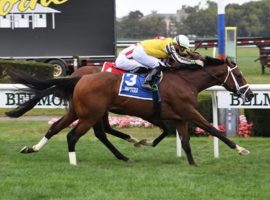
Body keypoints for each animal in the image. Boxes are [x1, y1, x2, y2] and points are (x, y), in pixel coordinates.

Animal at [7, 56, 254, 166]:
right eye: (238, 75)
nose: (250, 94)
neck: (185, 81)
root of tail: (80, 78)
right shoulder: (189, 112)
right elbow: (214, 130)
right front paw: (241, 149)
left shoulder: (180, 117)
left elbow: (184, 141)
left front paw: (192, 164)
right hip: (91, 114)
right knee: (74, 135)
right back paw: (74, 161)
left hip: (79, 111)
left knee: (59, 128)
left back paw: (32, 148)